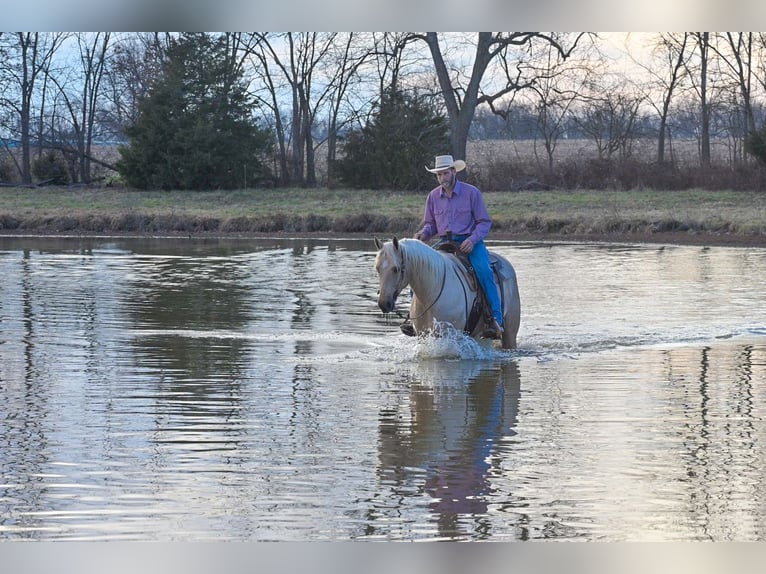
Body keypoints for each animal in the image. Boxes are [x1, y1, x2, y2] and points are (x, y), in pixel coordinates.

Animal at [374, 236, 521, 349]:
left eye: (396, 269)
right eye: (377, 268)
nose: (384, 303)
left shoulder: (450, 336)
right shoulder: (423, 336)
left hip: (510, 333)